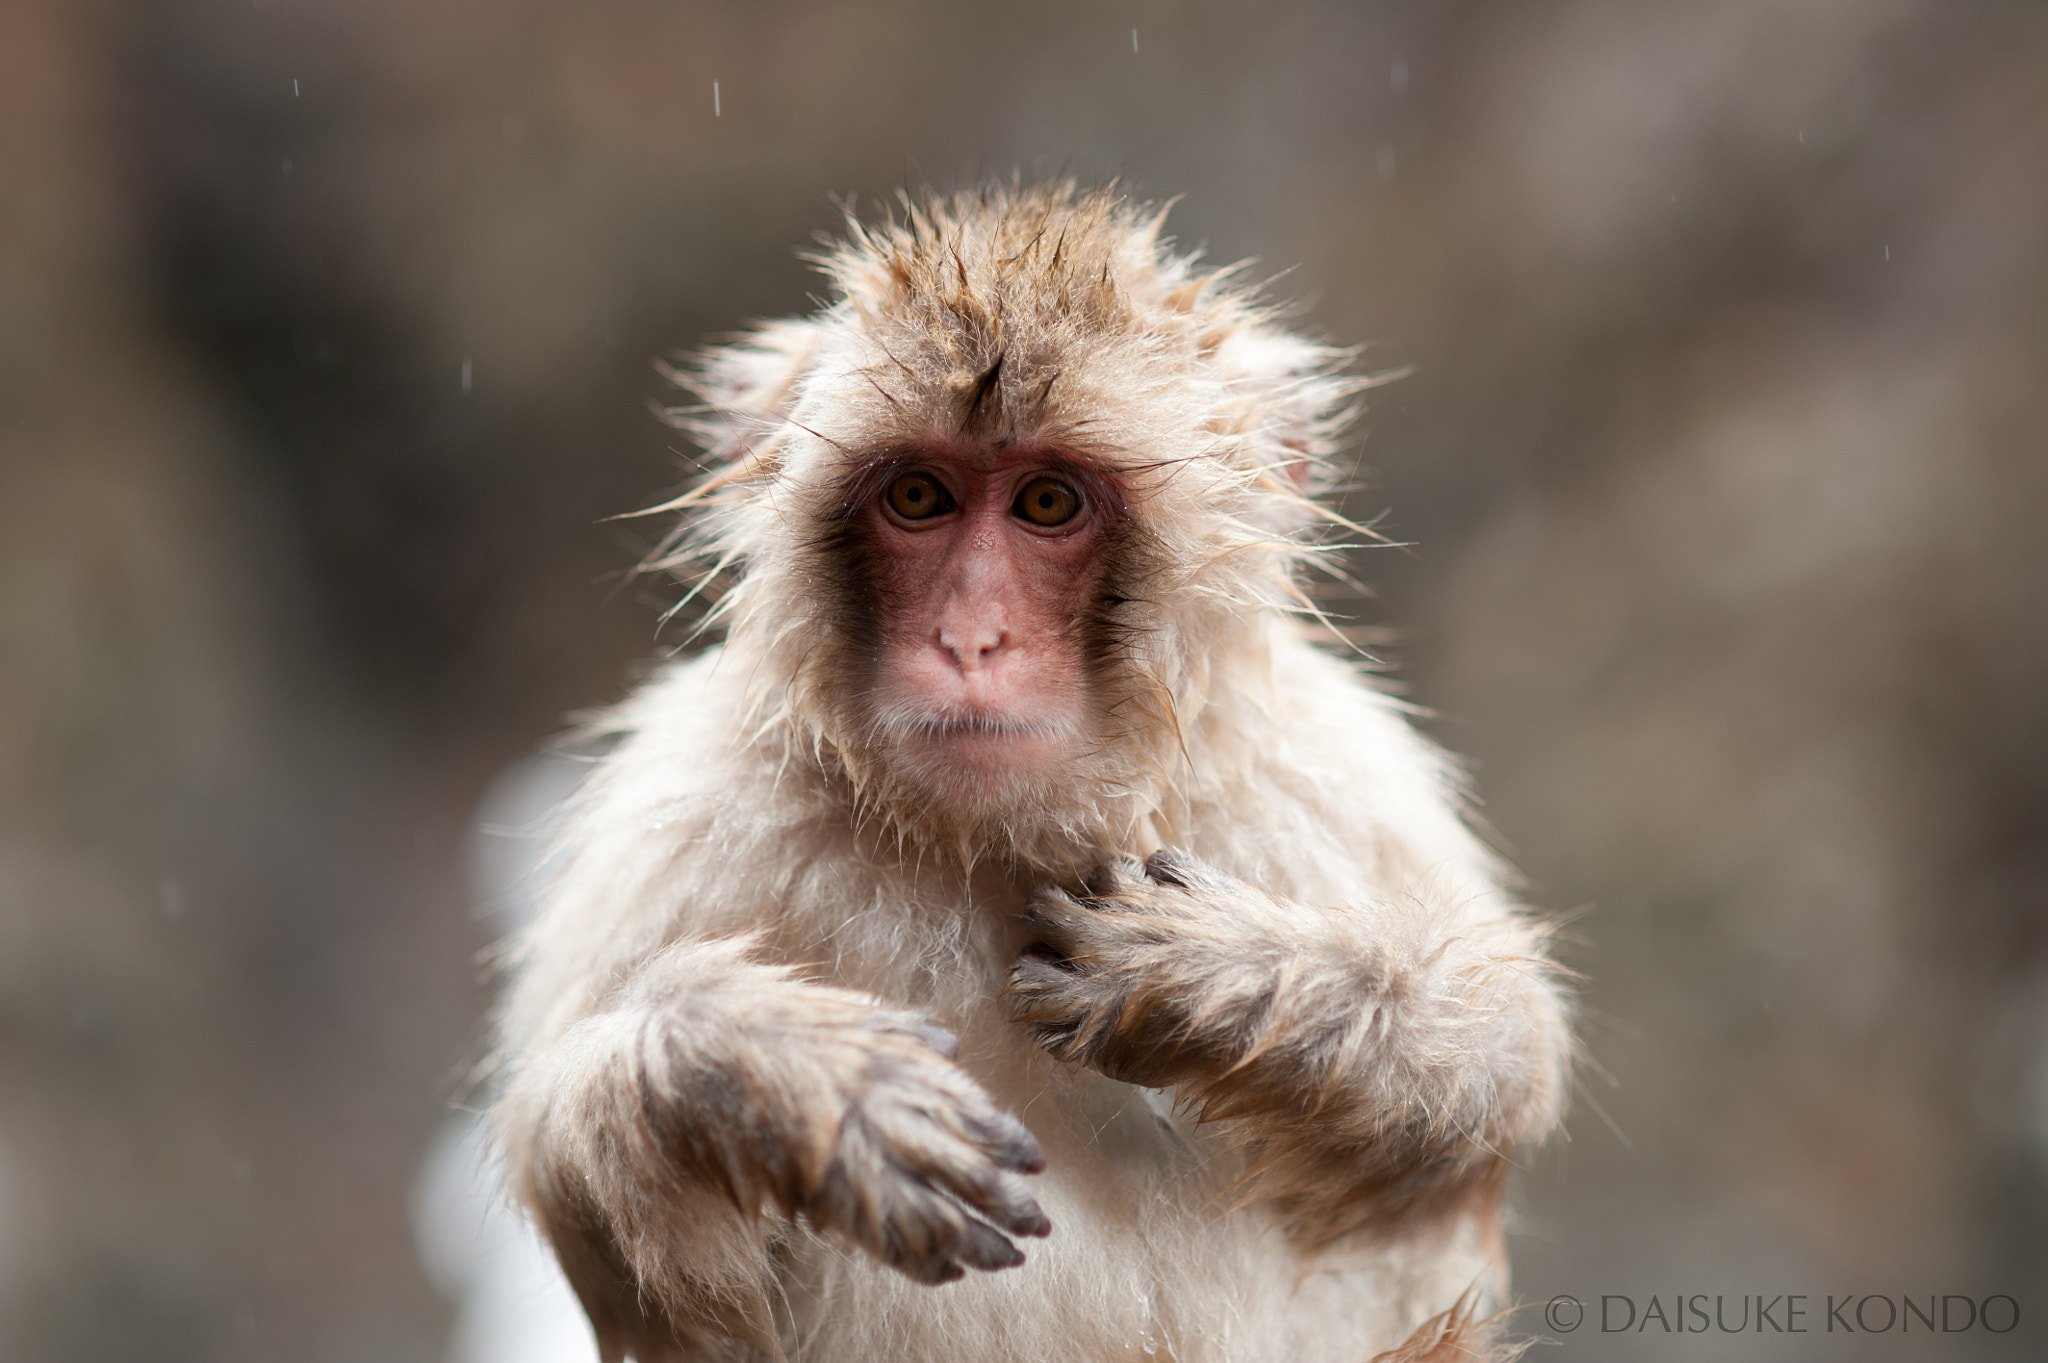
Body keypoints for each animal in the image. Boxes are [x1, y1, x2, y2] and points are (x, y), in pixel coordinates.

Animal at [487, 183, 1572, 1358]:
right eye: (918, 497)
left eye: (1046, 505)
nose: (971, 640)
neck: (1000, 840)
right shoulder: (690, 811)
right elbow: (591, 1215)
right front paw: (764, 1074)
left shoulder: (1327, 771)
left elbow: (1494, 1074)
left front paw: (1211, 976)